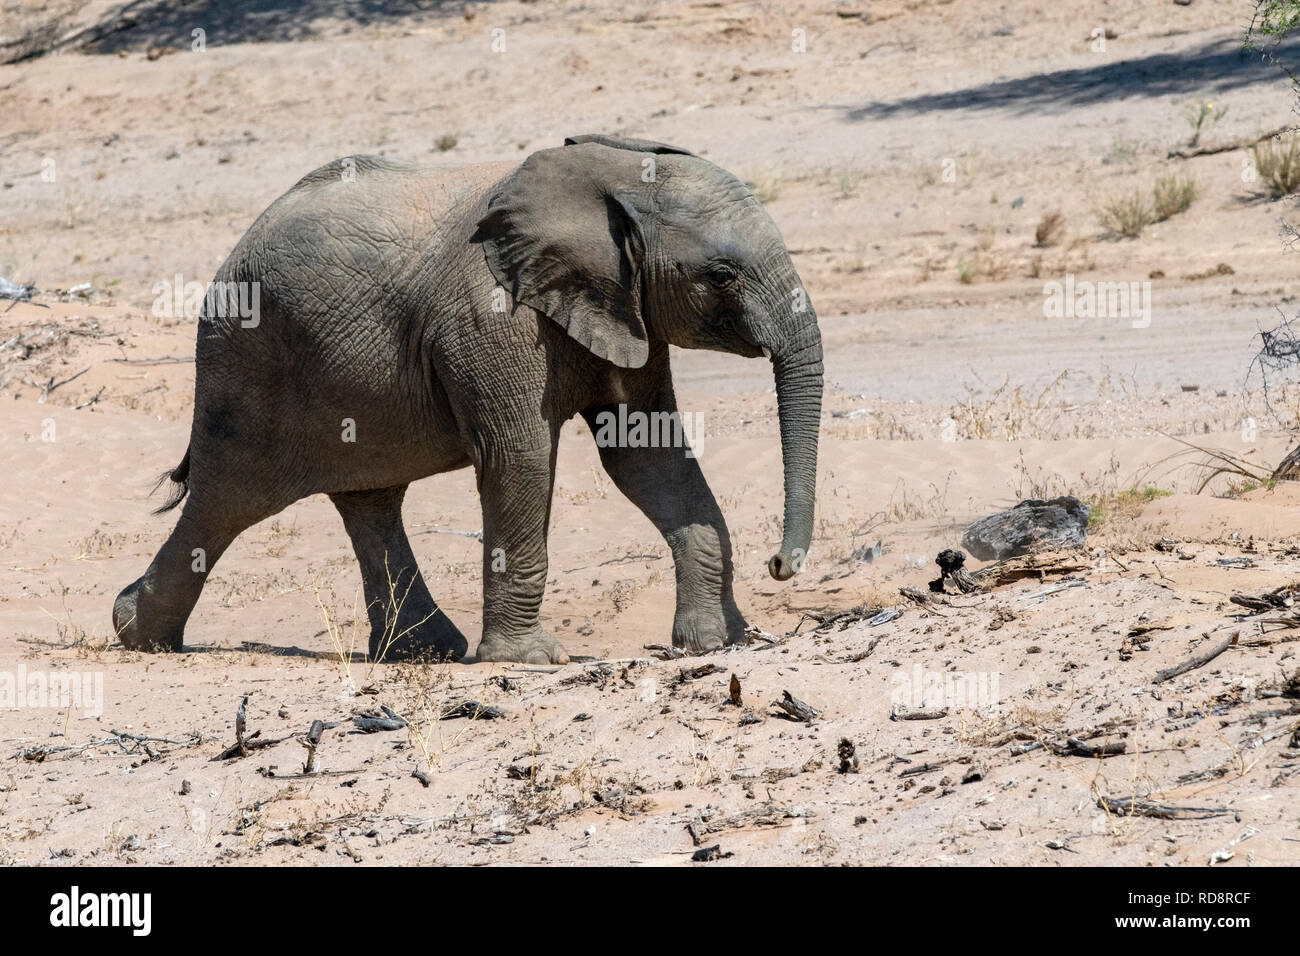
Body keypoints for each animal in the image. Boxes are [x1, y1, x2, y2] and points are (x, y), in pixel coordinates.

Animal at [111, 134, 821, 665]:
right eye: (720, 275)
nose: (780, 564)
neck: (604, 174)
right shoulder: (491, 315)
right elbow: (521, 457)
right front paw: (530, 661)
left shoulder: (624, 306)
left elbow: (648, 459)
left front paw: (716, 643)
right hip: (245, 365)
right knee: (227, 499)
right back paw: (137, 635)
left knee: (368, 501)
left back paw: (421, 653)